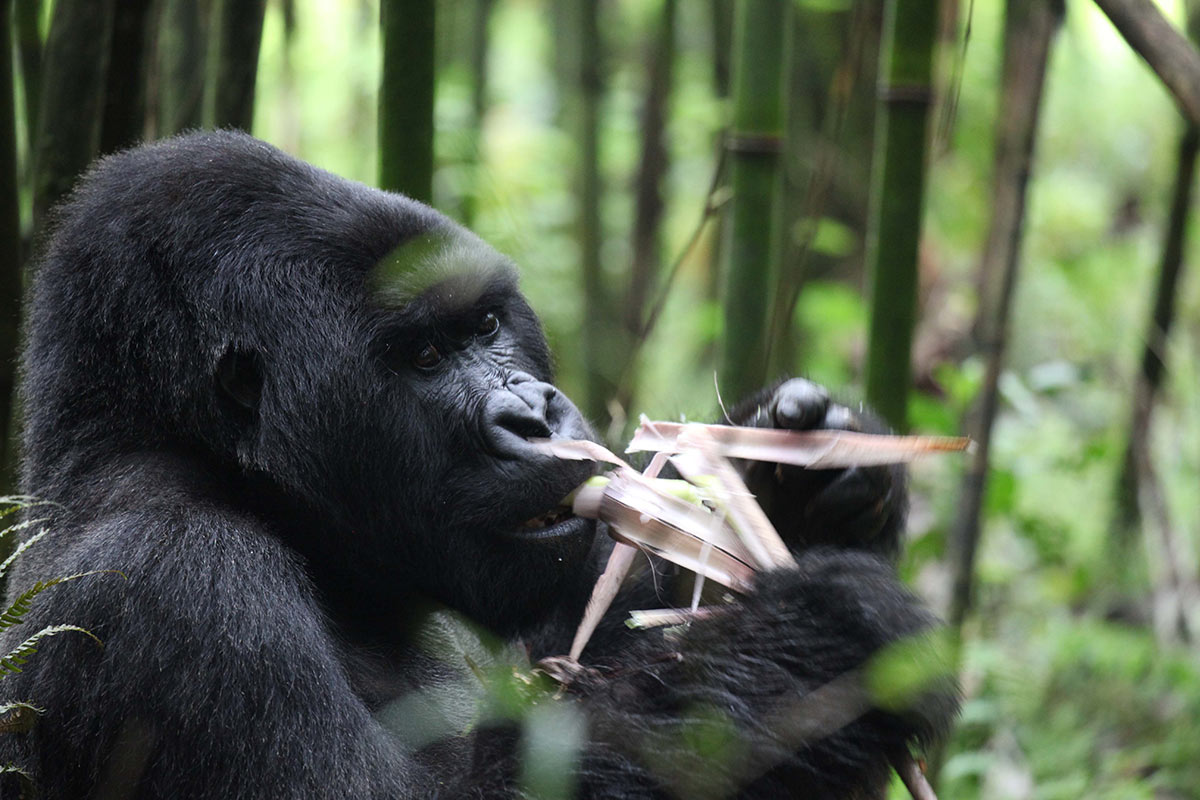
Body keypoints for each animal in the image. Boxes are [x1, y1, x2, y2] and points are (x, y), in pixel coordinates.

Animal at [0, 133, 955, 800]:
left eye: (486, 324)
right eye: (425, 356)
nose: (535, 415)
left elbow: (575, 636)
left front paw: (792, 487)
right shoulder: (175, 585)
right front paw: (818, 646)